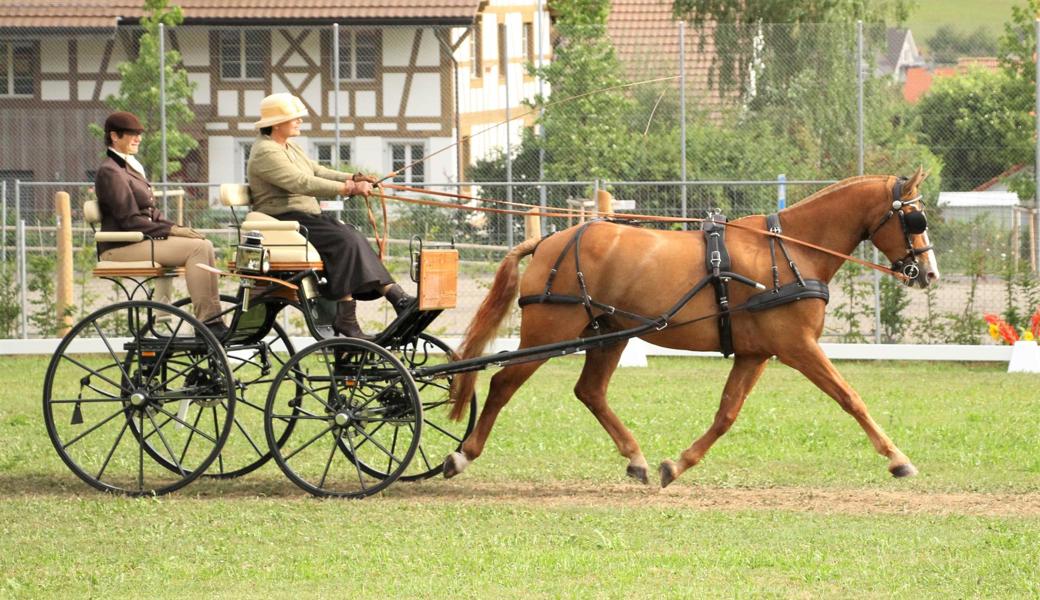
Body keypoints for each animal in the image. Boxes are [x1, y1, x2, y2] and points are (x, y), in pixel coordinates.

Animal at [443, 169, 940, 486]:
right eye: (913, 218)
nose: (929, 274)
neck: (791, 252)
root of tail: (549, 241)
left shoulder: (755, 353)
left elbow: (726, 414)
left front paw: (676, 465)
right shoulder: (798, 346)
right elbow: (850, 397)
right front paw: (898, 459)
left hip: (608, 334)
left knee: (590, 392)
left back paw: (637, 459)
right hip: (550, 332)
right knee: (503, 384)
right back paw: (462, 455)